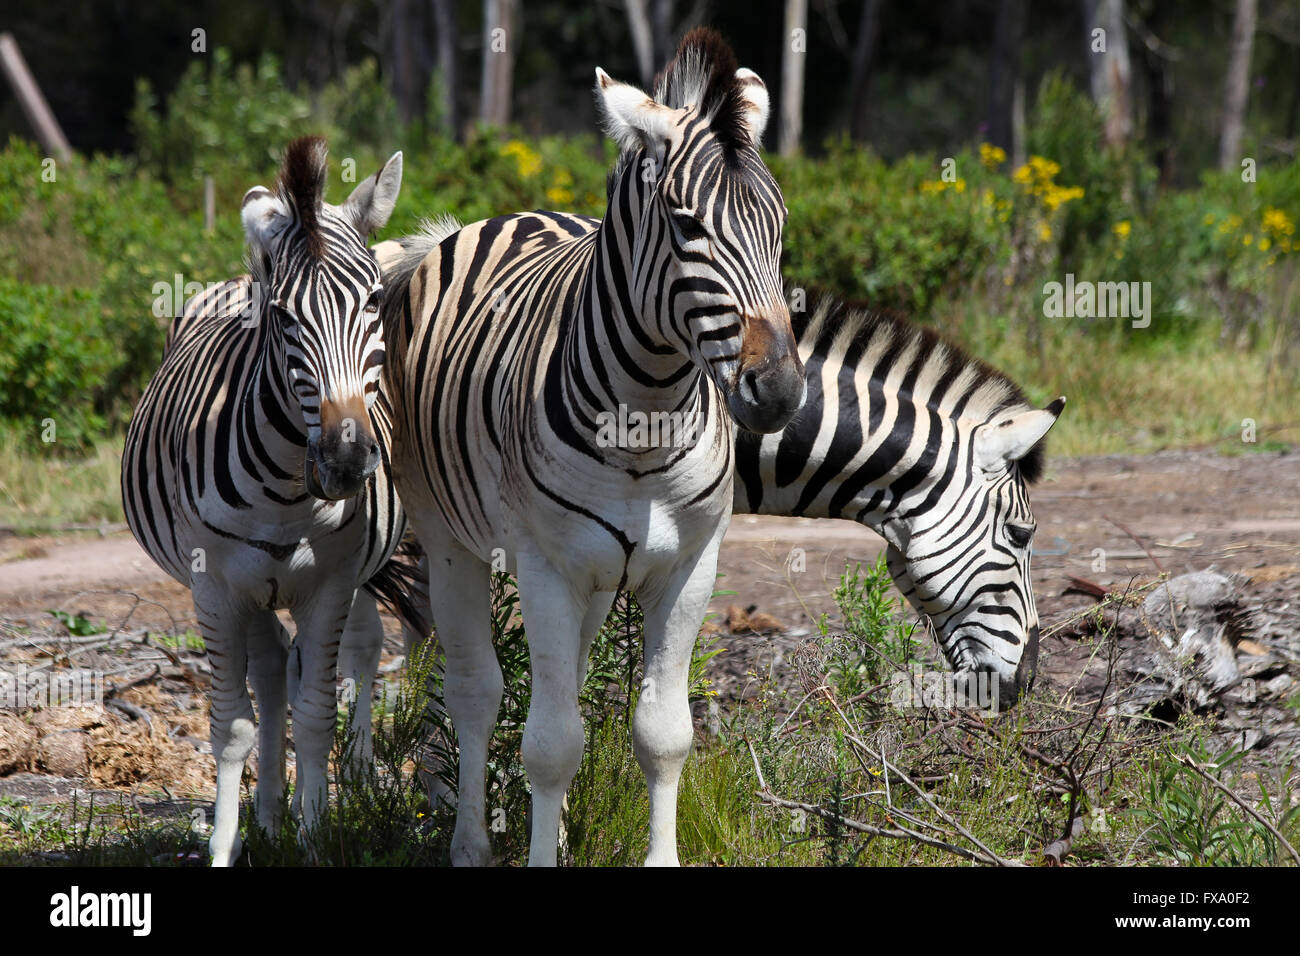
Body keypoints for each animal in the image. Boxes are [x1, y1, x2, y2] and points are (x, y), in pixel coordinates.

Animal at [121, 137, 407, 866]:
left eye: (373, 301)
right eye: (281, 317)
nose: (344, 459)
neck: (285, 490)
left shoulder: (332, 580)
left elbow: (316, 713)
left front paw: (315, 838)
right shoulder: (218, 588)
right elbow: (231, 725)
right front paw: (227, 844)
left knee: (330, 657)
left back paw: (314, 801)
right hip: (245, 586)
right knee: (274, 667)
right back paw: (269, 817)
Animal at [380, 28, 804, 866]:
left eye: (777, 229)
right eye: (687, 226)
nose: (776, 393)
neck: (646, 416)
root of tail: (505, 217)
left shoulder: (688, 567)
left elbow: (662, 735)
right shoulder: (546, 567)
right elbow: (548, 745)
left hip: (602, 576)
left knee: (566, 684)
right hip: (452, 540)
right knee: (477, 692)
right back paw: (471, 844)